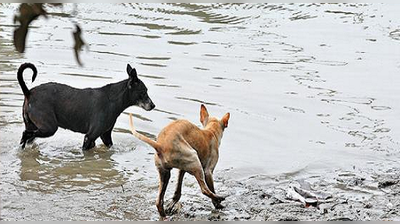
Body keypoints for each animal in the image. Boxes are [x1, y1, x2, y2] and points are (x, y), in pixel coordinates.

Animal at [19, 63, 155, 150]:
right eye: (143, 92)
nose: (153, 105)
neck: (113, 100)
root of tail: (29, 92)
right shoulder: (89, 136)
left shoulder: (105, 135)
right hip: (49, 127)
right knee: (26, 135)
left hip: (32, 125)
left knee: (27, 137)